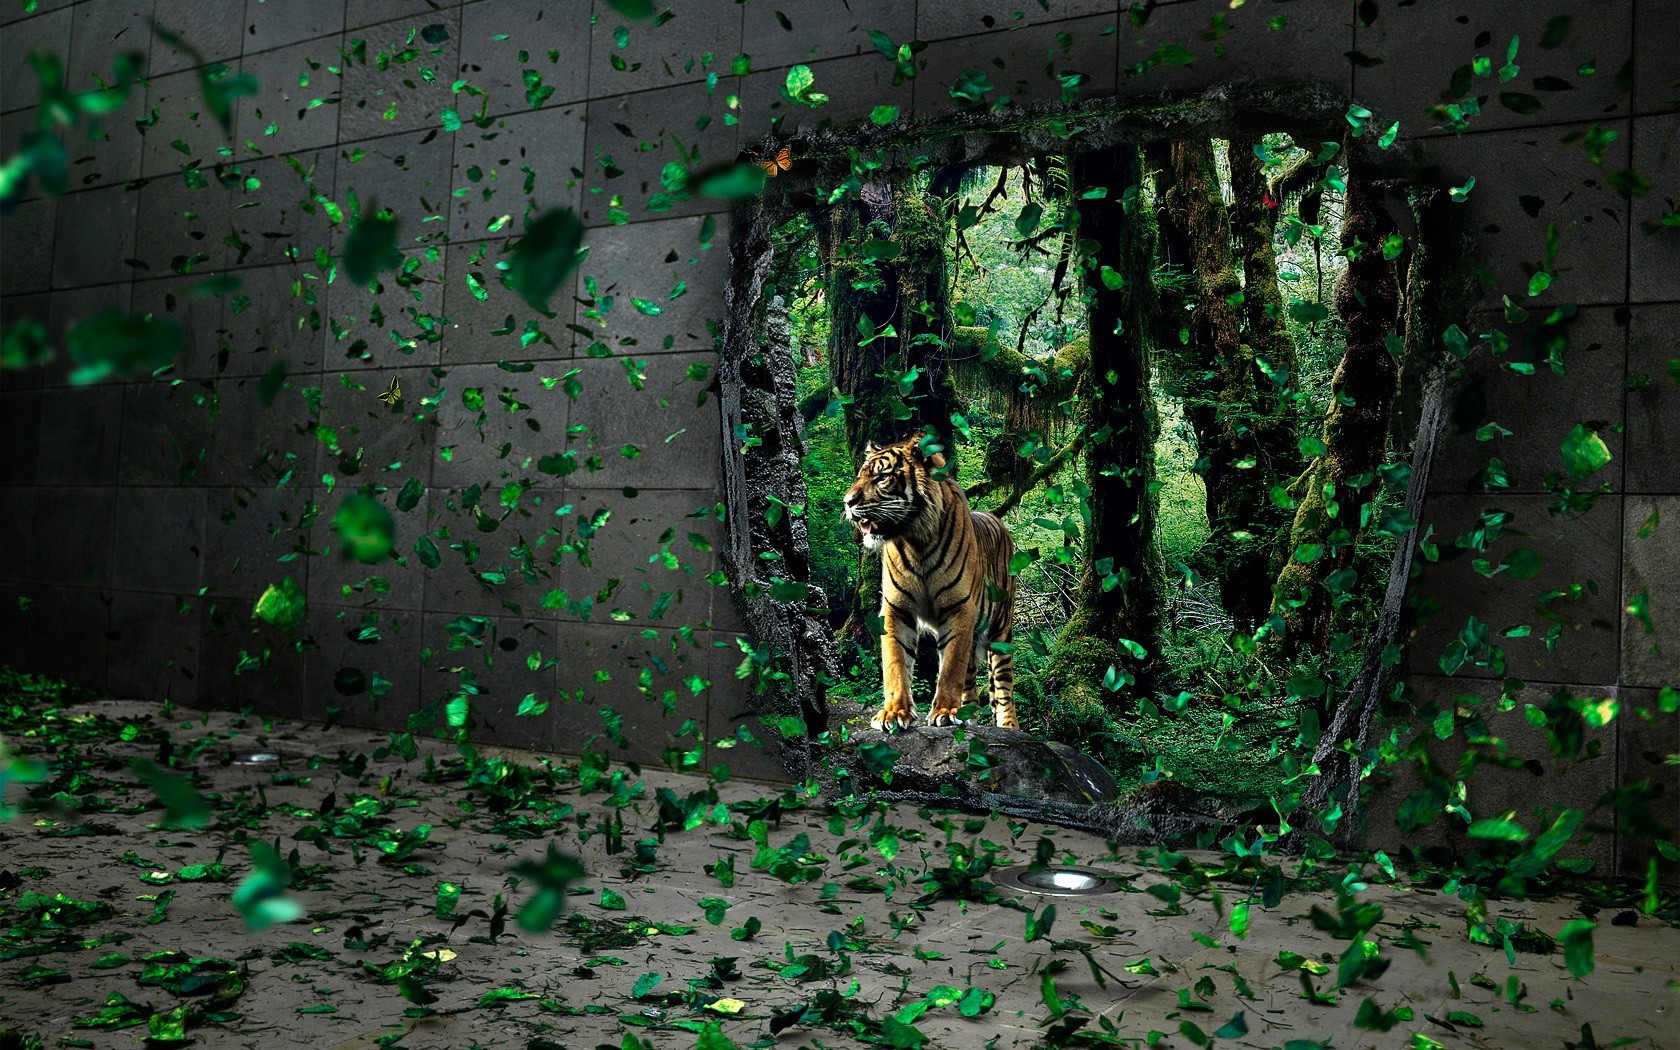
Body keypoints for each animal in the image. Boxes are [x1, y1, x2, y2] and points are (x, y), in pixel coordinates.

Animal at [841, 432, 1019, 732]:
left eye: (881, 477)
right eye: (860, 476)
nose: (847, 502)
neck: (917, 540)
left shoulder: (959, 608)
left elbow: (950, 668)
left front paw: (945, 711)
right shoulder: (896, 608)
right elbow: (895, 661)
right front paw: (893, 712)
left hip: (1001, 630)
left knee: (1003, 688)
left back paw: (1007, 727)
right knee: (971, 685)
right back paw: (968, 716)